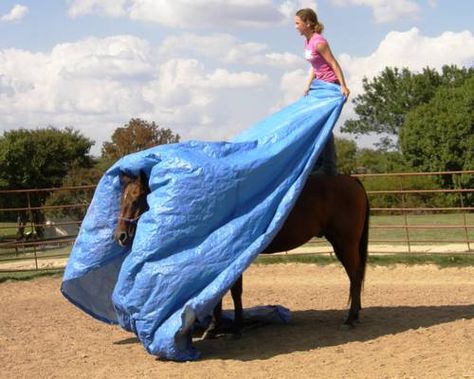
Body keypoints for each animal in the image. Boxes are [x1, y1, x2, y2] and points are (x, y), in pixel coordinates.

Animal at [115, 172, 370, 338]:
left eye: (137, 197)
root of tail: (352, 180)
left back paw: (350, 319)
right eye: (121, 198)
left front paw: (232, 327)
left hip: (345, 243)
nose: (120, 236)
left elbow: (232, 291)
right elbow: (225, 291)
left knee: (355, 276)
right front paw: (217, 326)